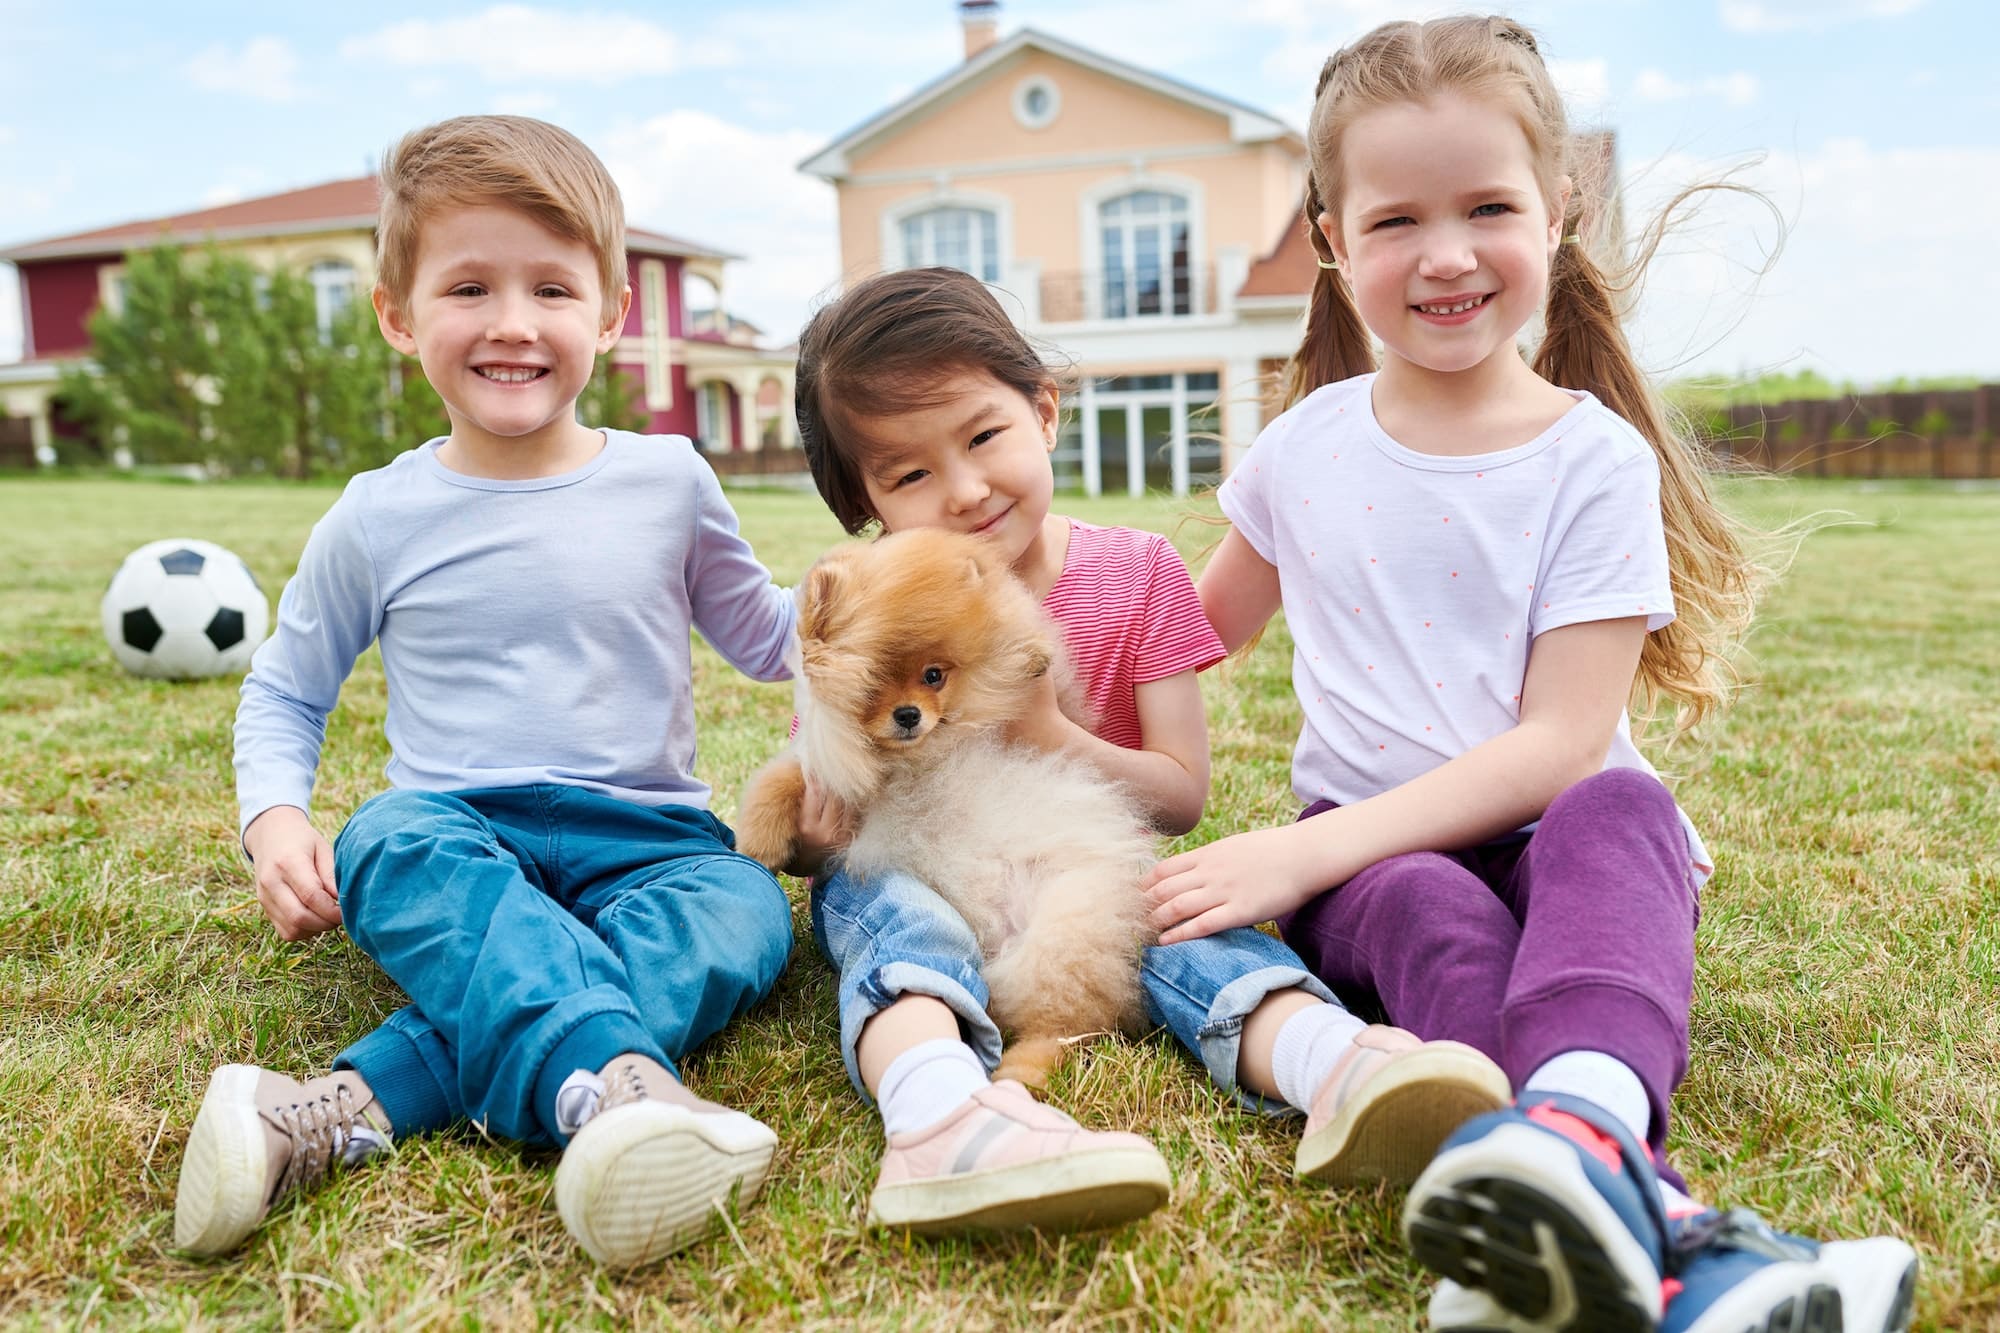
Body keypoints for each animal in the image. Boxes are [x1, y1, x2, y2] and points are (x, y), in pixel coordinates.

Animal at [740, 524, 1160, 1088]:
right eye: (872, 685)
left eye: (934, 675)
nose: (909, 715)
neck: (913, 761)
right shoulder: (827, 776)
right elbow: (781, 782)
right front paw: (756, 846)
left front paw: (1030, 659)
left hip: (1066, 925)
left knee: (1063, 1025)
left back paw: (1016, 1076)